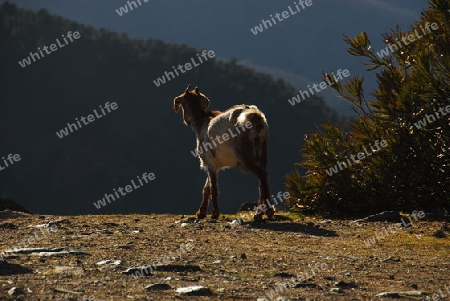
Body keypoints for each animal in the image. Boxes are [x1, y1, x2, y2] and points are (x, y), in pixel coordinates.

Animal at [172, 84, 274, 220]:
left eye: (182, 103)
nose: (186, 121)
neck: (202, 124)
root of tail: (255, 116)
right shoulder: (213, 165)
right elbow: (207, 188)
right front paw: (201, 213)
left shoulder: (209, 162)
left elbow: (213, 189)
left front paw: (214, 214)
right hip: (262, 150)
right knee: (263, 178)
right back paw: (263, 212)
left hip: (244, 154)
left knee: (262, 175)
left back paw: (264, 212)